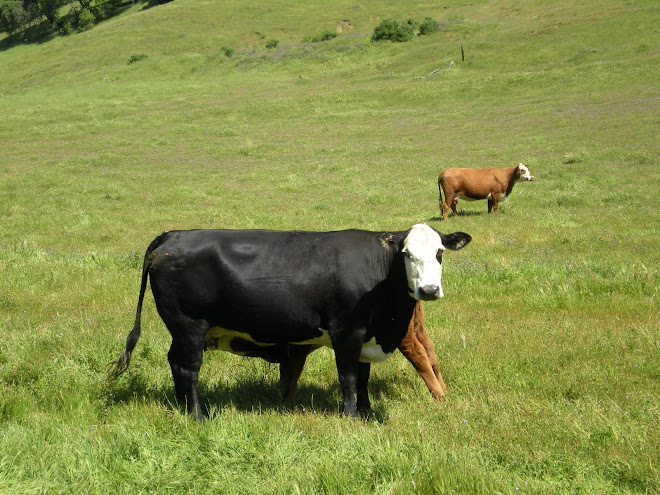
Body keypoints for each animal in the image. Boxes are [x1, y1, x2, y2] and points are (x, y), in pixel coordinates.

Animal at [109, 227, 470, 420]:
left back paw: (182, 407)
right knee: (187, 368)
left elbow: (364, 378)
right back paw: (197, 414)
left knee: (174, 363)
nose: (429, 290)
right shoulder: (347, 331)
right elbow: (349, 377)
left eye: (440, 252)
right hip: (189, 326)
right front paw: (351, 415)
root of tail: (172, 235)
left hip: (181, 331)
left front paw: (367, 412)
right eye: (406, 253)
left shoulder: (365, 336)